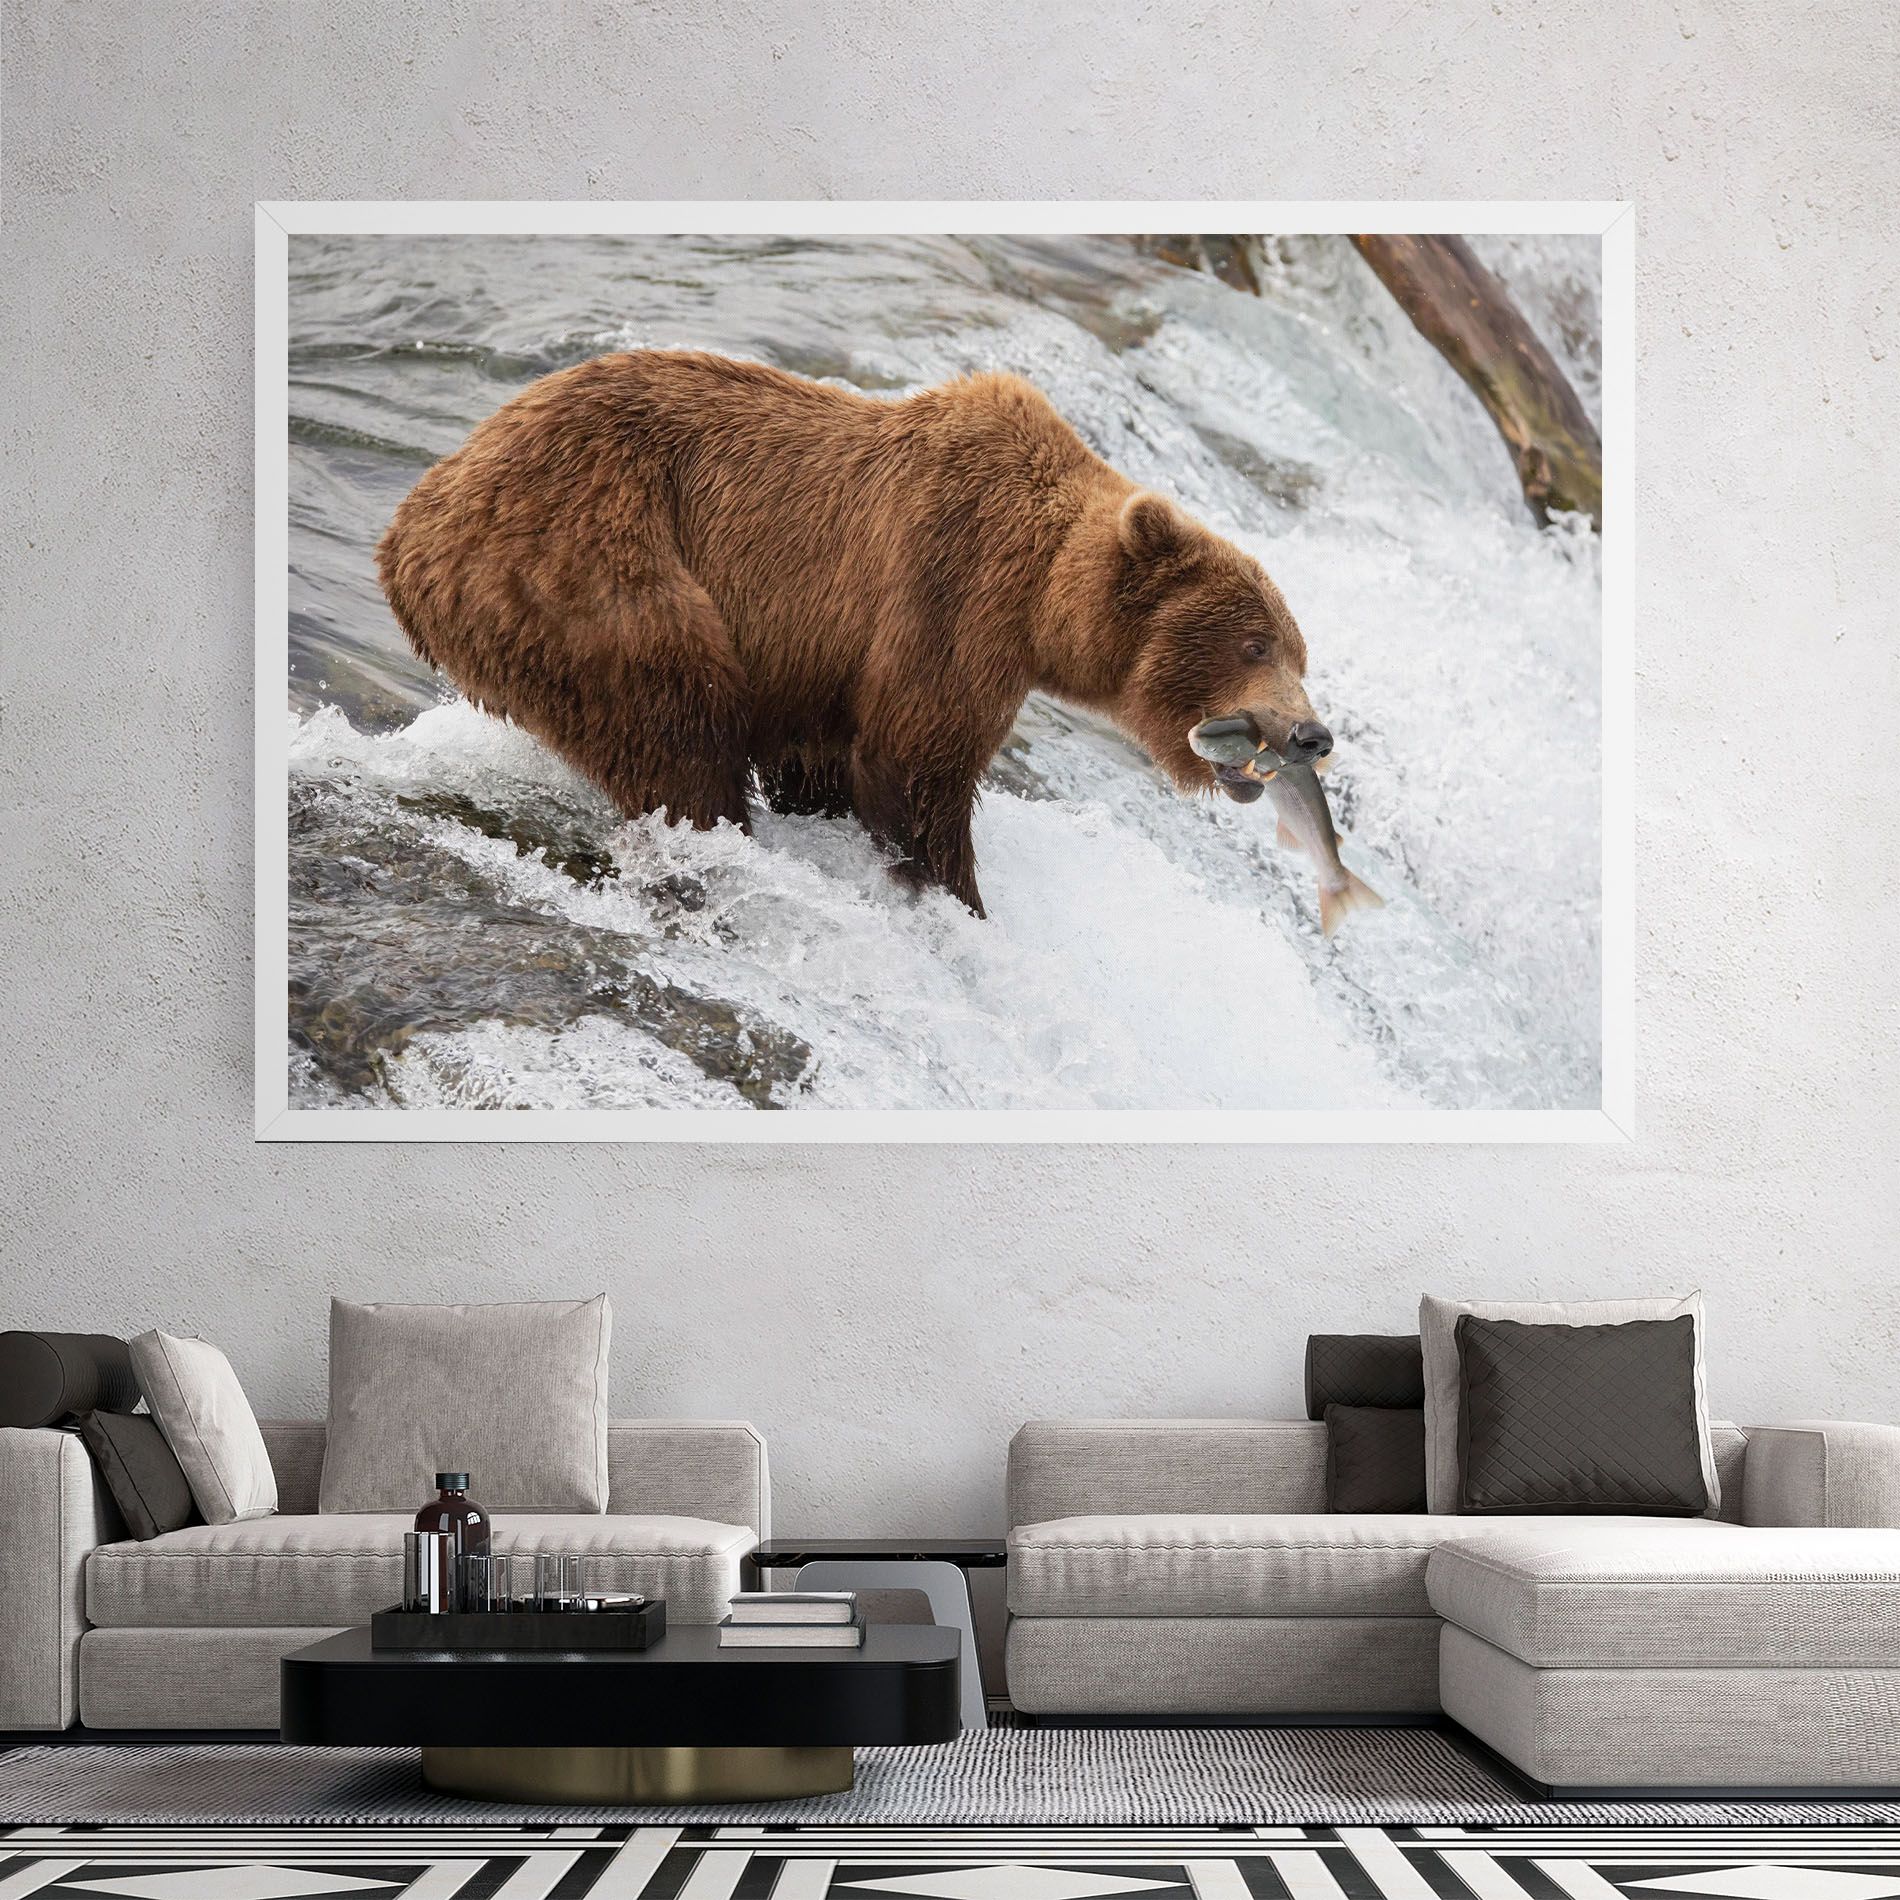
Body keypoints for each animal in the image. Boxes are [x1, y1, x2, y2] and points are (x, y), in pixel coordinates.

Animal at [376, 350, 1333, 918]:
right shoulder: (950, 591)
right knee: (676, 723)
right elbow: (916, 764)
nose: (1311, 735)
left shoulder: (822, 665)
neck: (1042, 598)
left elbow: (826, 760)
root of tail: (412, 523)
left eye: (1299, 652)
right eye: (1255, 644)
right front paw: (956, 897)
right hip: (590, 562)